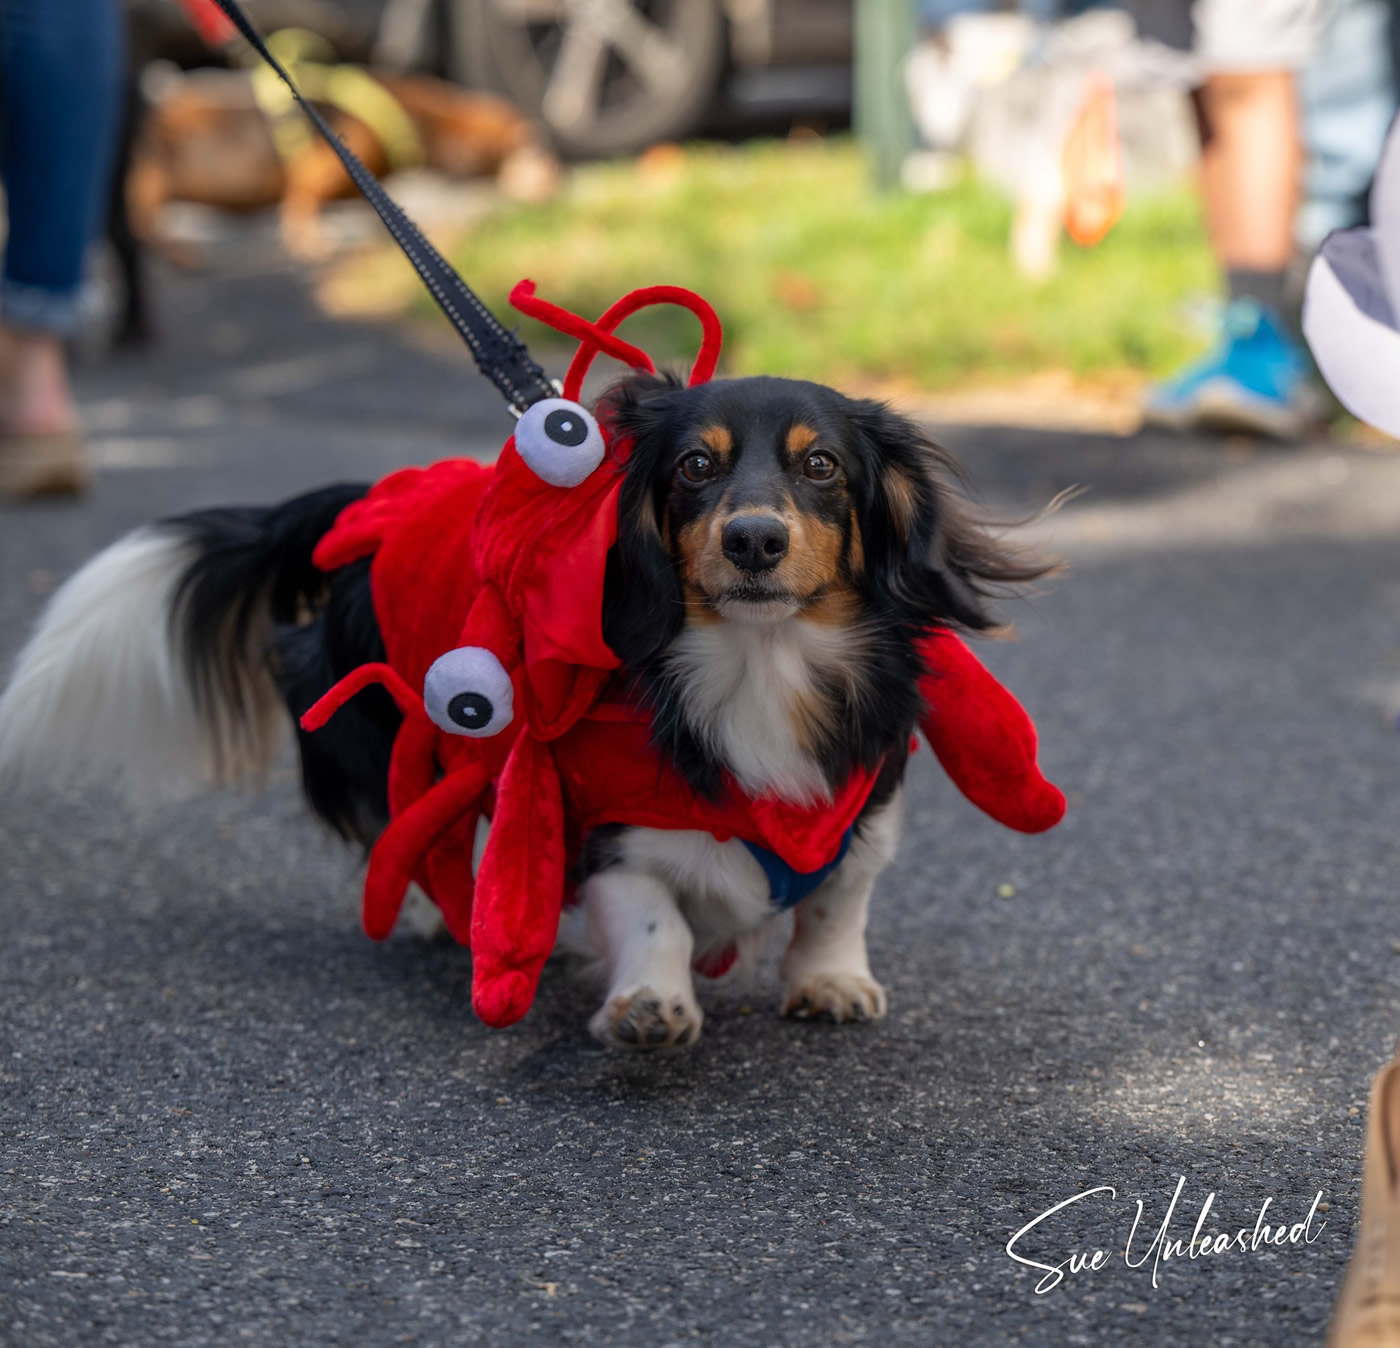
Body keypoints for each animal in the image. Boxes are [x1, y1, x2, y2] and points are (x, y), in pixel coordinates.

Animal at [0, 375, 1047, 1047]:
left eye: (821, 465)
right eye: (694, 467)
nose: (754, 540)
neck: (757, 662)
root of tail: (373, 500)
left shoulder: (864, 795)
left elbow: (838, 892)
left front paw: (830, 980)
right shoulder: (600, 825)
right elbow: (657, 914)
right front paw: (650, 1004)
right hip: (398, 737)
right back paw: (449, 915)